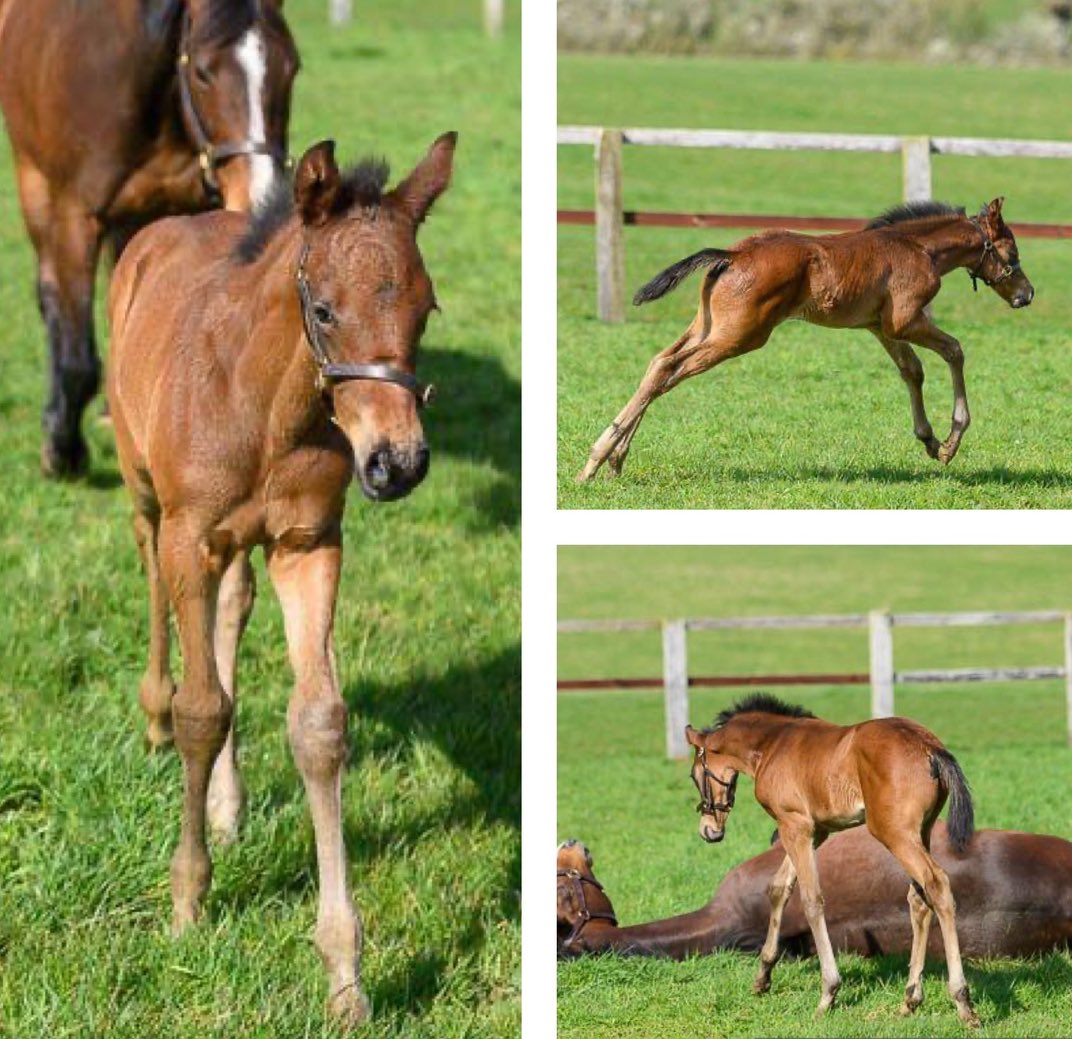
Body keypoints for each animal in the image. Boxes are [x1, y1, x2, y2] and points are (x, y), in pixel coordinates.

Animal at [0, 0, 298, 478]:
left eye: (291, 68)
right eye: (203, 72)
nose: (259, 194)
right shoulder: (74, 218)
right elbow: (77, 356)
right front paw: (62, 451)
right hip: (36, 190)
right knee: (52, 297)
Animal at [106, 131, 457, 1026]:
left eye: (425, 307)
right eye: (325, 310)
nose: (398, 462)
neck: (265, 403)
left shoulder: (308, 540)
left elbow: (319, 724)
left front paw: (346, 976)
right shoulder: (192, 535)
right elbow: (203, 710)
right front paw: (188, 901)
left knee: (232, 606)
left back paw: (228, 805)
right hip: (143, 482)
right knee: (150, 568)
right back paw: (152, 716)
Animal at [576, 198, 1034, 483]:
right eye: (1011, 254)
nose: (1026, 294)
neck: (918, 248)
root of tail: (732, 255)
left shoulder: (880, 326)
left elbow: (912, 370)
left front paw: (931, 441)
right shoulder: (905, 320)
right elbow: (954, 350)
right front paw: (952, 440)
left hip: (708, 325)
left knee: (660, 364)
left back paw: (614, 459)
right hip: (740, 335)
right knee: (670, 369)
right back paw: (596, 460)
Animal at [684, 693, 979, 1025]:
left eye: (695, 776)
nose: (709, 831)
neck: (773, 744)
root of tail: (928, 746)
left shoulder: (795, 826)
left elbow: (812, 900)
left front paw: (828, 993)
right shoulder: (815, 831)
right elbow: (779, 888)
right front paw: (763, 976)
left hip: (893, 833)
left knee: (937, 885)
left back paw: (962, 1002)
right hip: (921, 831)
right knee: (919, 897)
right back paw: (910, 999)